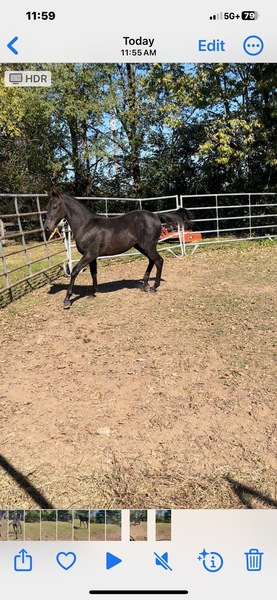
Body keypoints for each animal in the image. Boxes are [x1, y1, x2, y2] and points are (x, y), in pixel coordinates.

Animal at [44, 191, 192, 310]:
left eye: (55, 206)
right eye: (47, 207)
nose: (47, 227)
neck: (86, 226)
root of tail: (156, 216)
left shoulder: (89, 254)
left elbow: (75, 271)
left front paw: (67, 300)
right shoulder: (92, 256)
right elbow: (93, 273)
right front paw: (92, 293)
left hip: (148, 246)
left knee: (159, 261)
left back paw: (154, 287)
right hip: (142, 247)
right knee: (152, 261)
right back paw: (144, 284)